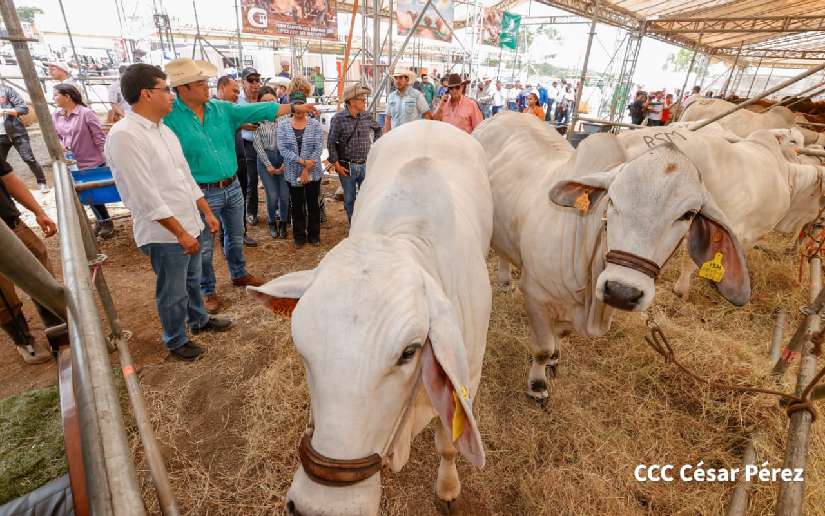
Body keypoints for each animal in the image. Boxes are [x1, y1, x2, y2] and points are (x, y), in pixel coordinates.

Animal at [248, 121, 492, 516]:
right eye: (302, 351)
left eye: (409, 352)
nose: (318, 509)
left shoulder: (469, 375)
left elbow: (448, 441)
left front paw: (448, 487)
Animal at [470, 113, 748, 402]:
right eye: (611, 200)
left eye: (688, 215)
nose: (622, 292)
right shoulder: (536, 296)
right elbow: (542, 348)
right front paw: (537, 385)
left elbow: (560, 337)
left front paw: (556, 358)